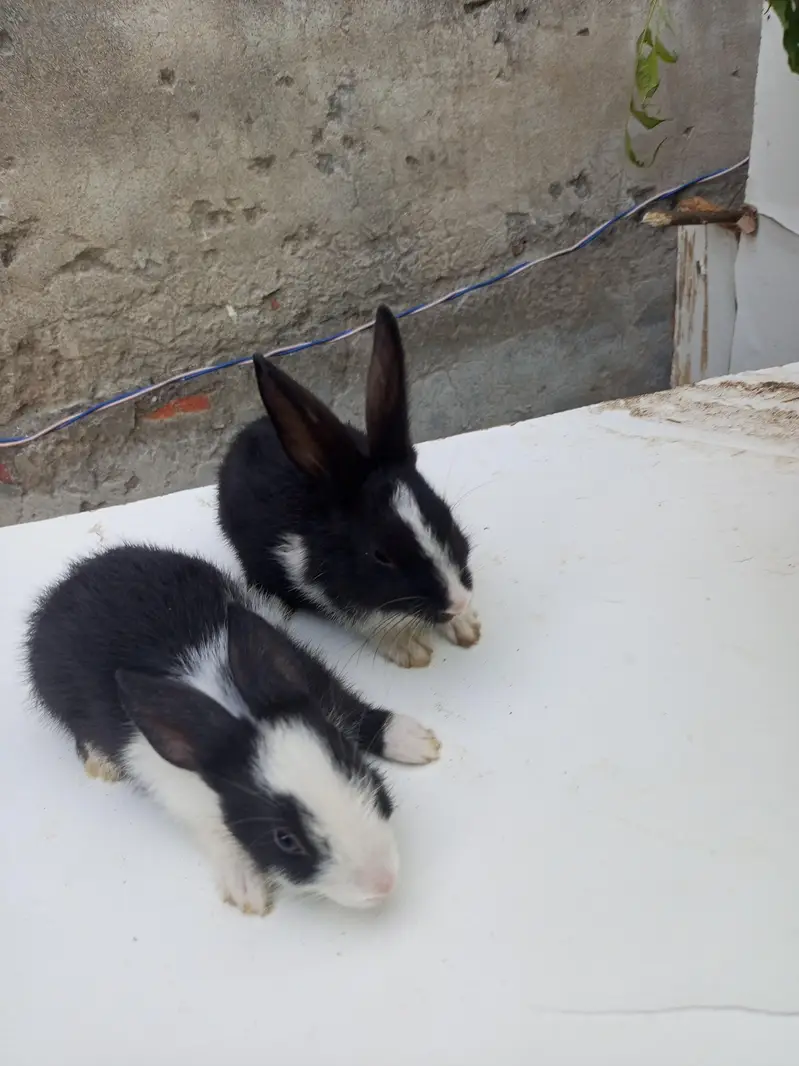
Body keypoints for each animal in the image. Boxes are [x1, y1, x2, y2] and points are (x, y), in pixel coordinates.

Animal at [24, 544, 441, 915]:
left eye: (364, 774)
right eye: (285, 840)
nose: (383, 883)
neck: (232, 708)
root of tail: (66, 585)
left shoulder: (312, 680)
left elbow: (352, 708)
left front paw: (414, 740)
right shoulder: (176, 790)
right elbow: (216, 832)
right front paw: (247, 888)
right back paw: (102, 763)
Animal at [217, 304, 481, 669]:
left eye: (446, 516)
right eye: (380, 555)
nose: (458, 602)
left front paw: (467, 627)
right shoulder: (316, 582)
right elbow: (362, 618)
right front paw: (409, 649)